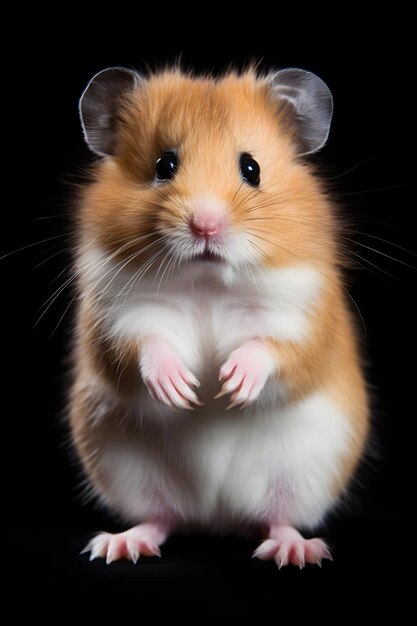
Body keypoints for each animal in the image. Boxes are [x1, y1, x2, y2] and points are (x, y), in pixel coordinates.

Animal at [72, 68, 368, 564]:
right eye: (164, 165)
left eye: (252, 168)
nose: (205, 226)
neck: (206, 283)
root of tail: (217, 518)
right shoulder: (112, 317)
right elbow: (144, 343)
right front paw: (183, 390)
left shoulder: (306, 317)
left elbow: (274, 348)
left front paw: (231, 385)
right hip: (125, 469)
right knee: (161, 517)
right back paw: (120, 545)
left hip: (305, 474)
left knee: (276, 518)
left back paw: (295, 551)